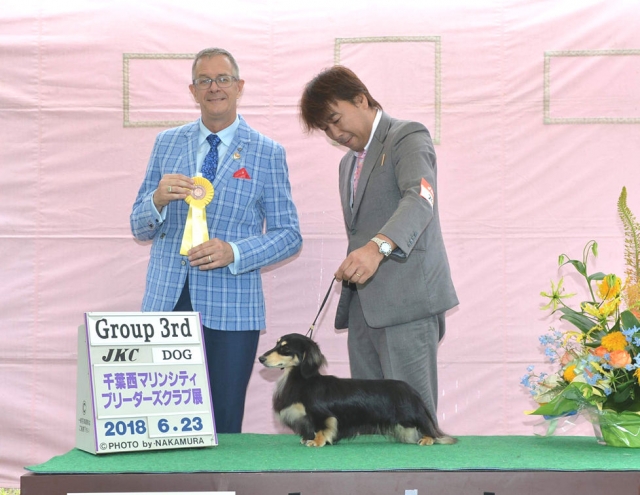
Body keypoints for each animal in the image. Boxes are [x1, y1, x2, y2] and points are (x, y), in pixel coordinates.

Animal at [258, 333, 456, 447]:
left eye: (285, 348)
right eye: (276, 344)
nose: (260, 358)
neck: (301, 380)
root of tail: (411, 390)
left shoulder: (321, 415)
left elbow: (323, 428)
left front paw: (316, 441)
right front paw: (307, 438)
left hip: (410, 415)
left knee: (427, 426)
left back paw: (428, 439)